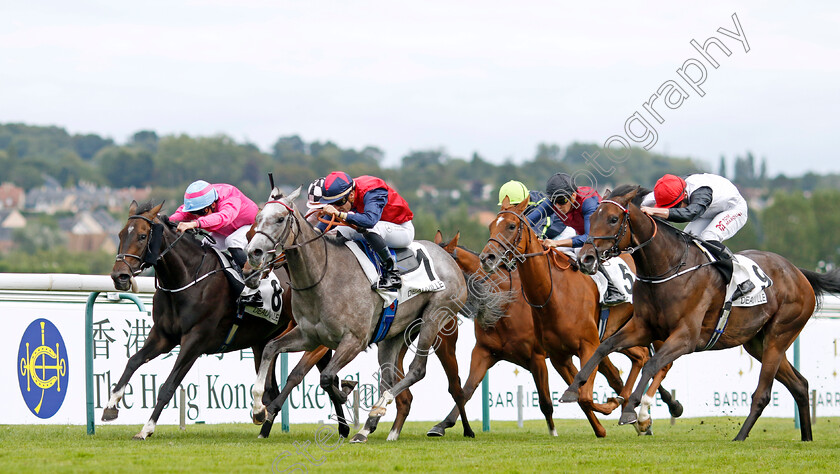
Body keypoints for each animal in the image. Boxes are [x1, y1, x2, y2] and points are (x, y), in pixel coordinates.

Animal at [109, 201, 352, 440]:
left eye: (142, 236)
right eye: (120, 235)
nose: (119, 276)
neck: (188, 278)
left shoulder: (195, 340)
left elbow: (168, 385)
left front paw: (146, 429)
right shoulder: (163, 335)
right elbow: (133, 361)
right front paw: (111, 406)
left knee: (305, 377)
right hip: (266, 341)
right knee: (281, 385)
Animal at [246, 187, 476, 442]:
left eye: (279, 219)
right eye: (257, 218)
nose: (253, 254)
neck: (323, 276)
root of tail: (448, 257)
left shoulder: (354, 341)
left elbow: (326, 377)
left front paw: (345, 392)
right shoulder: (309, 336)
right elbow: (270, 348)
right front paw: (259, 409)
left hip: (434, 318)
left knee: (418, 370)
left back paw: (381, 408)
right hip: (393, 334)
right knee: (388, 378)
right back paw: (367, 427)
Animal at [476, 196, 680, 436]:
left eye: (511, 226)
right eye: (491, 226)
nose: (487, 258)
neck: (553, 295)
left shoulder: (588, 346)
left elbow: (584, 395)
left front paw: (612, 405)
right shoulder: (559, 357)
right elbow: (579, 395)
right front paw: (602, 427)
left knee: (661, 364)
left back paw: (652, 411)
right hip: (621, 332)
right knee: (640, 356)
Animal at [560, 185, 840, 440]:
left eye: (613, 219)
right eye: (593, 217)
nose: (585, 258)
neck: (667, 268)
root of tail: (798, 272)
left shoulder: (686, 337)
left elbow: (652, 363)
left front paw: (632, 411)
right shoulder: (643, 327)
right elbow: (604, 347)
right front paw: (572, 389)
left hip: (779, 336)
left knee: (763, 394)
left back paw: (740, 437)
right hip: (756, 343)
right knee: (800, 385)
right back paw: (806, 438)